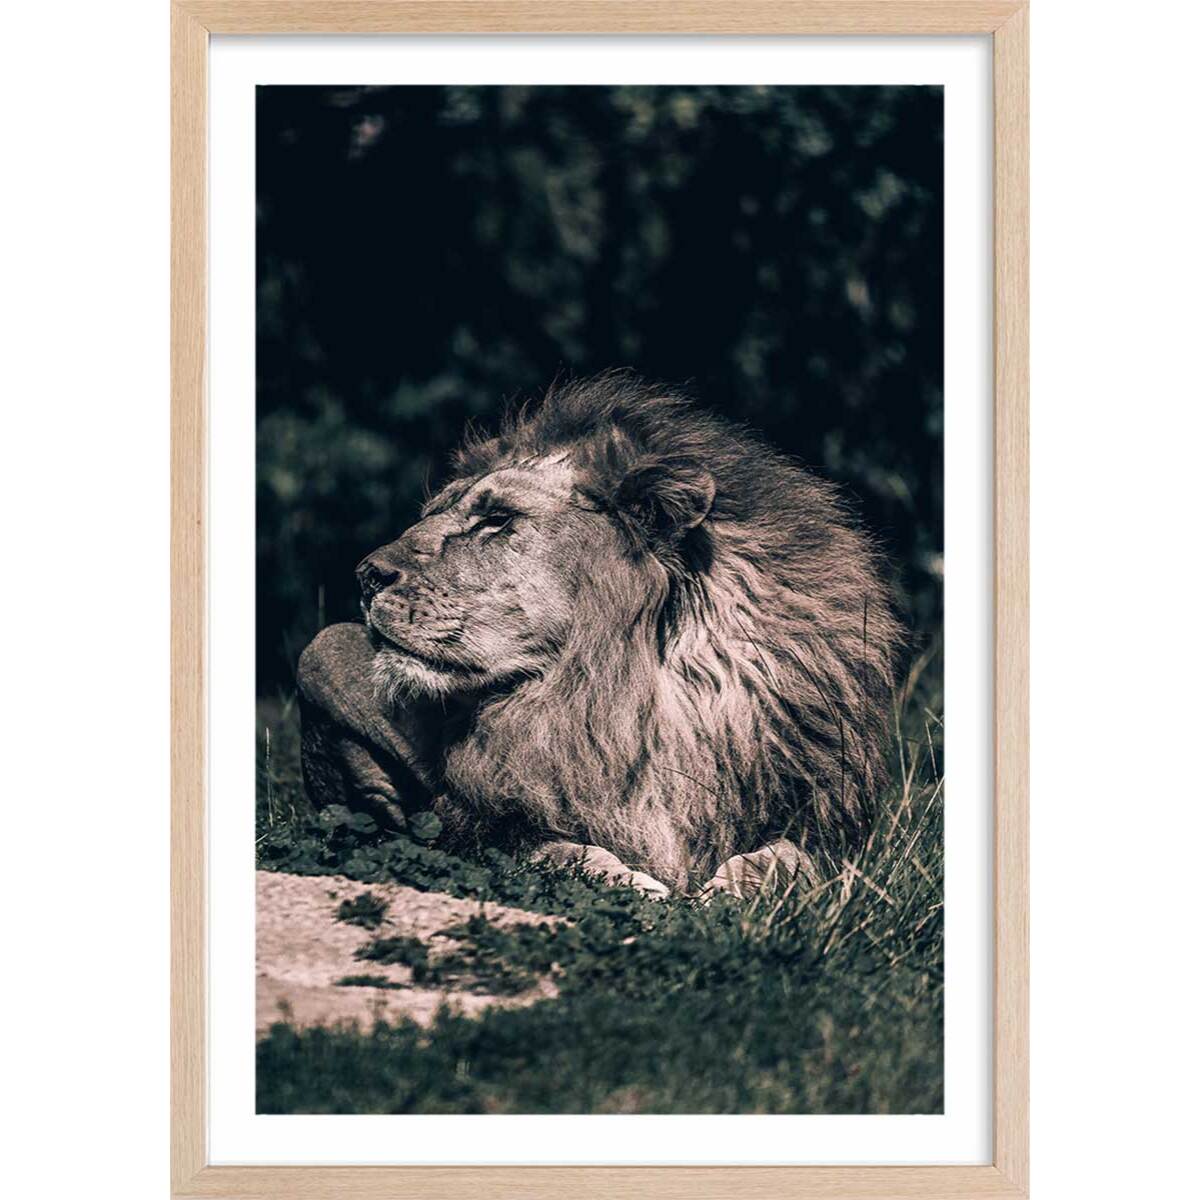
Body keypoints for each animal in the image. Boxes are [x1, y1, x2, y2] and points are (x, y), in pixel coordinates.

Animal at [297, 374, 902, 897]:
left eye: (496, 520)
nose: (366, 574)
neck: (622, 698)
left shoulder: (827, 821)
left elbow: (792, 858)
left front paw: (733, 890)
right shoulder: (480, 823)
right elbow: (559, 850)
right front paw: (639, 885)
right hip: (318, 653)